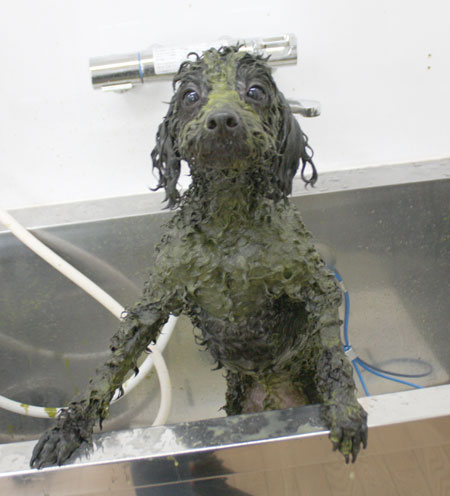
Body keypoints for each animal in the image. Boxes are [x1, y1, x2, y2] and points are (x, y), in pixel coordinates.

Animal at [30, 46, 367, 468]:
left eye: (255, 91)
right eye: (190, 96)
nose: (222, 120)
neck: (229, 220)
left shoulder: (315, 283)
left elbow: (333, 355)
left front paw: (346, 410)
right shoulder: (156, 299)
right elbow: (111, 368)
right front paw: (67, 429)